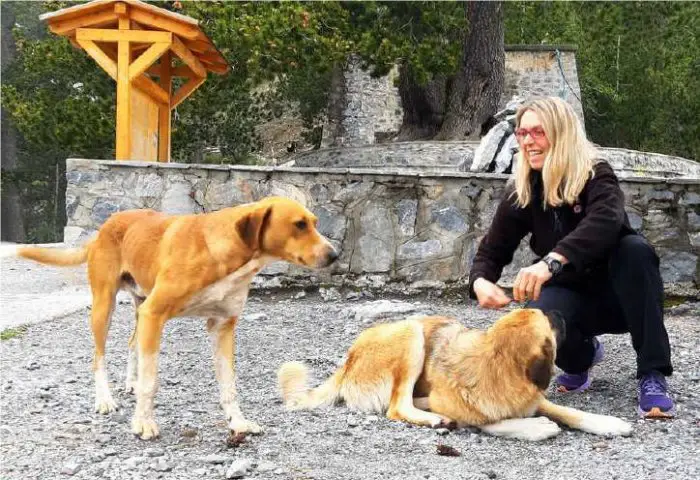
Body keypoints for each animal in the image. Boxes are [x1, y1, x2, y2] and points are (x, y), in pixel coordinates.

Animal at [5, 195, 340, 438]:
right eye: (299, 225)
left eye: (314, 222)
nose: (334, 255)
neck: (228, 254)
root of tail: (107, 224)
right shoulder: (156, 314)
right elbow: (151, 382)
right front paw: (143, 423)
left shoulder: (222, 326)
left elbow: (229, 385)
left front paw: (238, 422)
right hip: (105, 306)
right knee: (98, 357)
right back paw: (105, 399)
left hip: (140, 305)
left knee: (131, 343)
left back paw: (129, 382)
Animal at [278, 310, 636, 440]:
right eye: (549, 323)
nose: (562, 315)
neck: (495, 365)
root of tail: (348, 360)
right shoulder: (466, 407)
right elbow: (491, 421)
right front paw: (534, 427)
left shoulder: (534, 397)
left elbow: (568, 411)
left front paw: (607, 423)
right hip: (411, 333)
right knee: (397, 406)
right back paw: (433, 418)